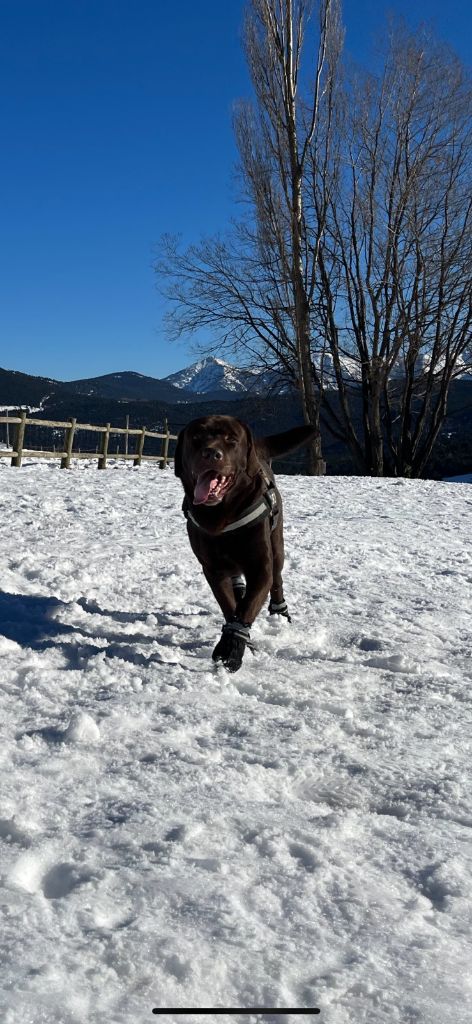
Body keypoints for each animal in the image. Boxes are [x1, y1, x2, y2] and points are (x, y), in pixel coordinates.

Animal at [174, 413, 317, 671]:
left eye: (232, 439)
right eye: (196, 437)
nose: (211, 454)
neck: (221, 516)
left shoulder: (260, 566)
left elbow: (249, 605)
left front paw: (231, 648)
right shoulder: (213, 569)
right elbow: (230, 605)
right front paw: (237, 642)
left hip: (277, 543)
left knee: (277, 579)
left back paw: (280, 613)